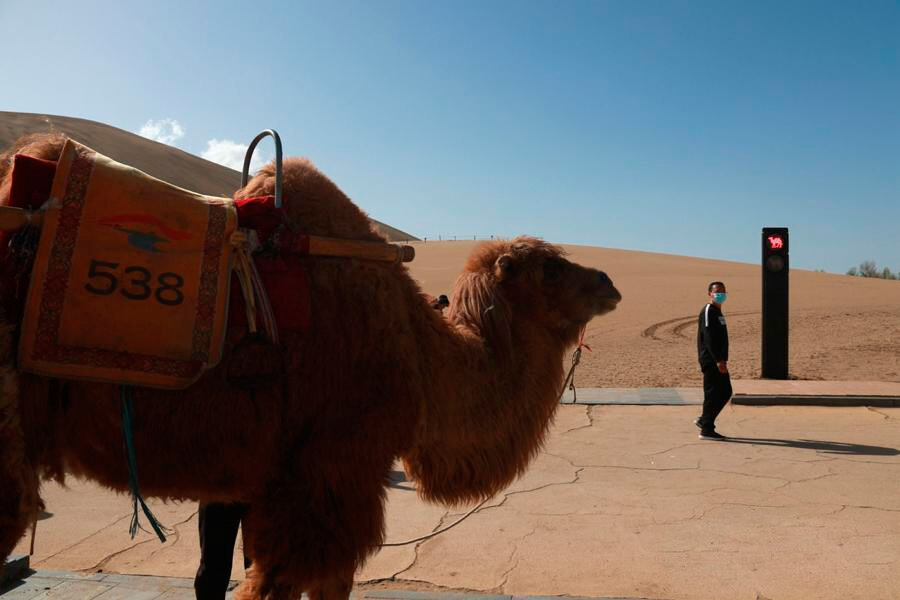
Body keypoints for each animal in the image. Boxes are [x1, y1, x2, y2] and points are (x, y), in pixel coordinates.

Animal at [0, 132, 620, 600]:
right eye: (550, 266)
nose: (608, 282)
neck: (417, 348)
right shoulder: (334, 466)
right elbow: (292, 583)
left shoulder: (278, 480)